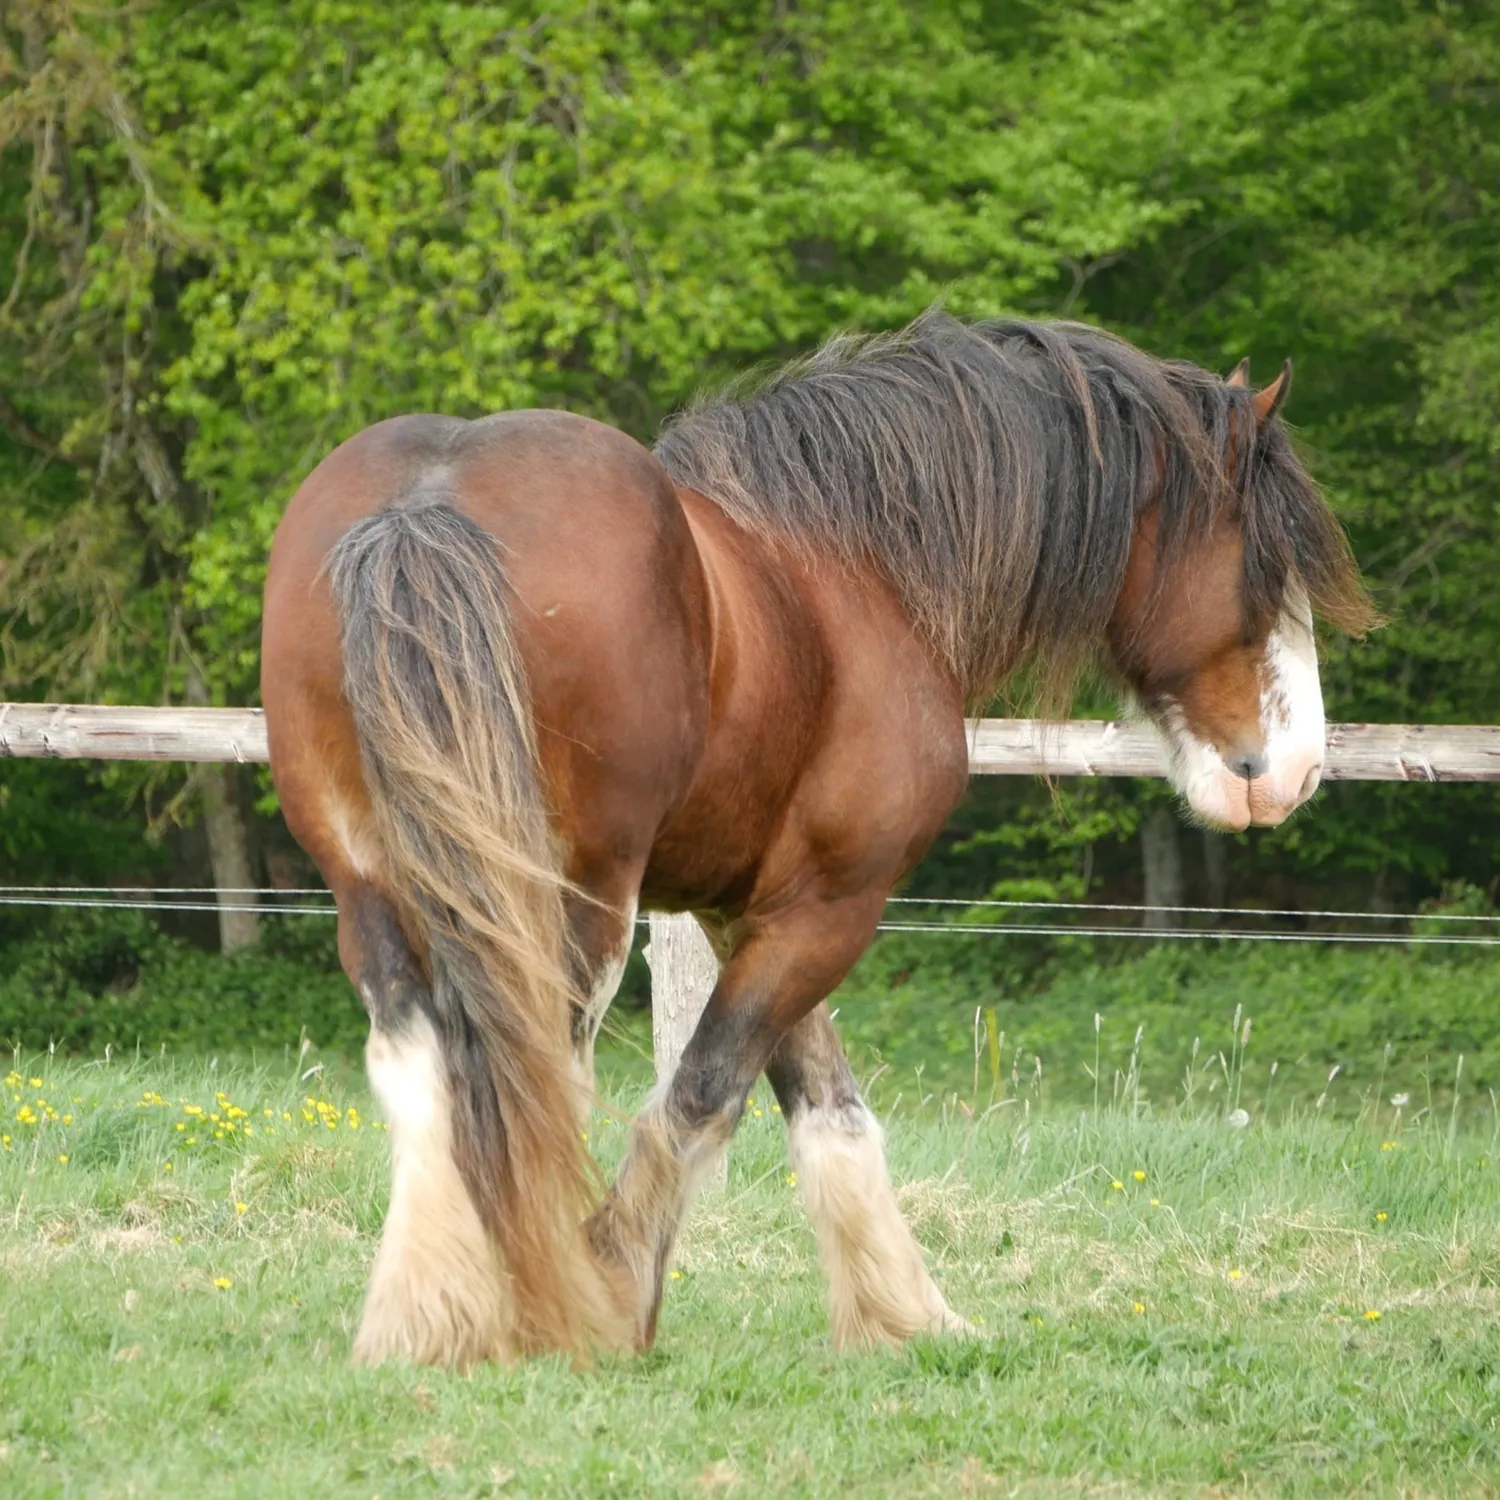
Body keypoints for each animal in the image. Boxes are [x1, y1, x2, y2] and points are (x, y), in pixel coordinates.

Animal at [260, 312, 1372, 1368]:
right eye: (1265, 562)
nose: (1298, 771)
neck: (857, 568)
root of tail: (427, 502)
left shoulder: (749, 904)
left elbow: (825, 1102)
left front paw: (905, 1315)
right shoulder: (835, 901)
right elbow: (707, 1091)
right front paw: (611, 1291)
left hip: (377, 885)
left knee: (421, 1057)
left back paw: (427, 1313)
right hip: (573, 899)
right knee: (530, 1069)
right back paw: (531, 1301)